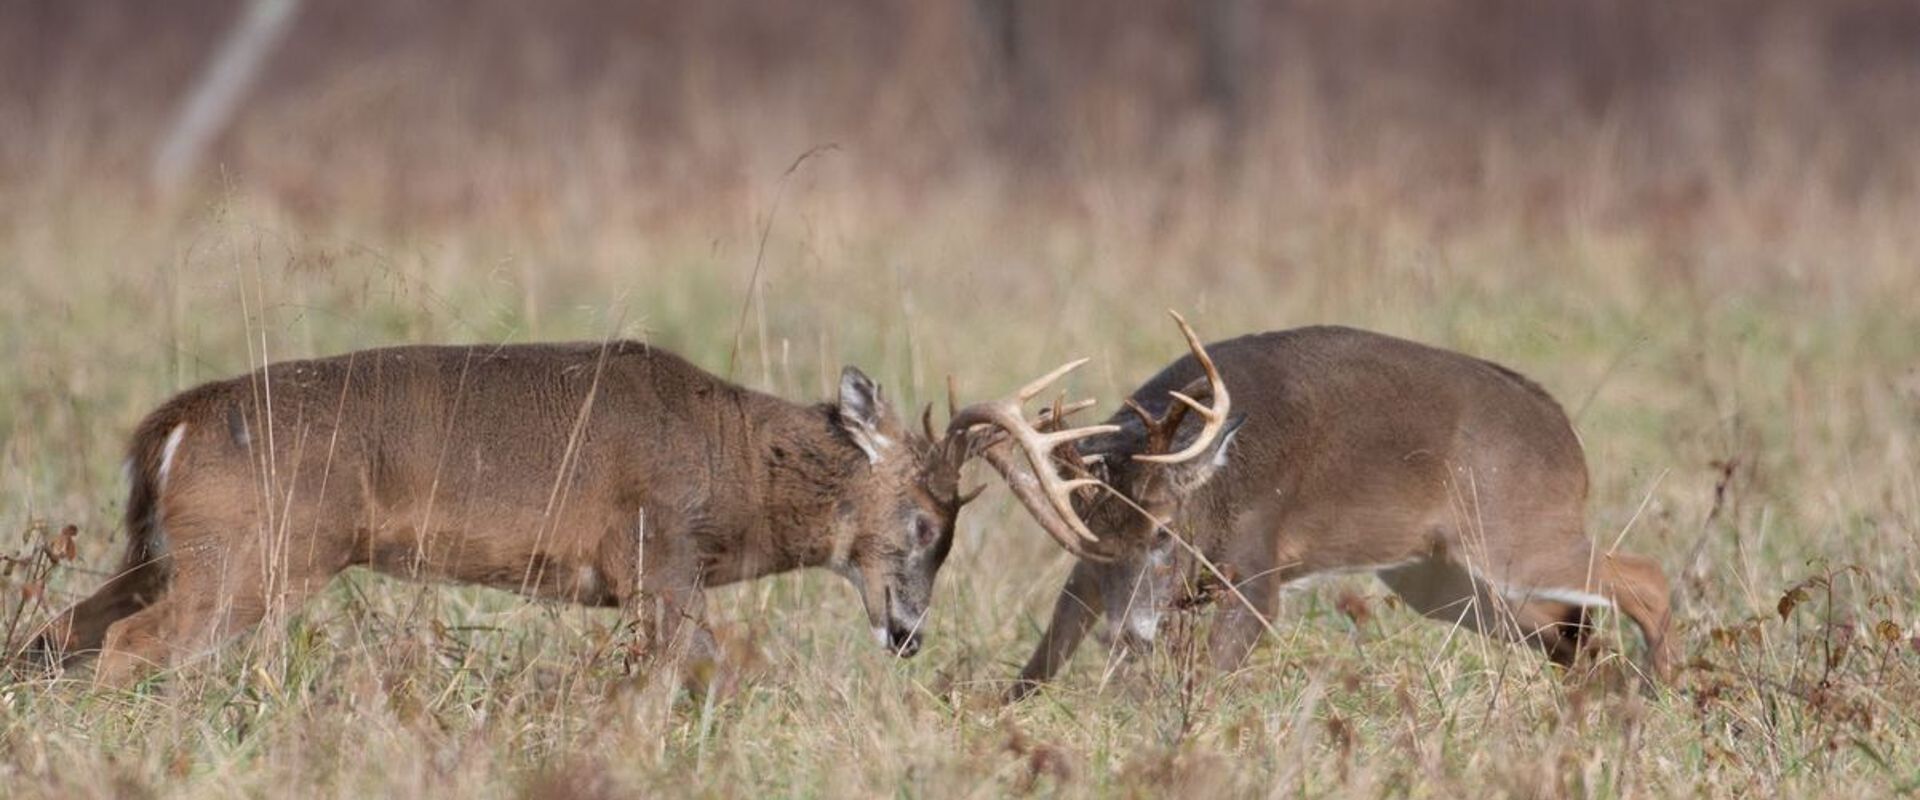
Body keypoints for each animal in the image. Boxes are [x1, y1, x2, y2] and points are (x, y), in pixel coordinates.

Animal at [27, 339, 993, 686]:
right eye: (923, 525)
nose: (908, 632)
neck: (735, 465)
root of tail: (174, 422)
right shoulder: (656, 556)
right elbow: (706, 671)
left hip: (160, 553)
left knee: (57, 631)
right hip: (251, 555)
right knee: (129, 642)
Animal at [947, 312, 1673, 701]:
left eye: (1164, 534)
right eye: (1093, 540)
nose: (1128, 634)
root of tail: (1567, 437)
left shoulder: (1259, 564)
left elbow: (1216, 669)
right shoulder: (1090, 577)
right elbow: (1048, 649)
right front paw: (995, 711)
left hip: (1512, 534)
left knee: (1648, 580)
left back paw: (1656, 691)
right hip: (1441, 579)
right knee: (1572, 634)